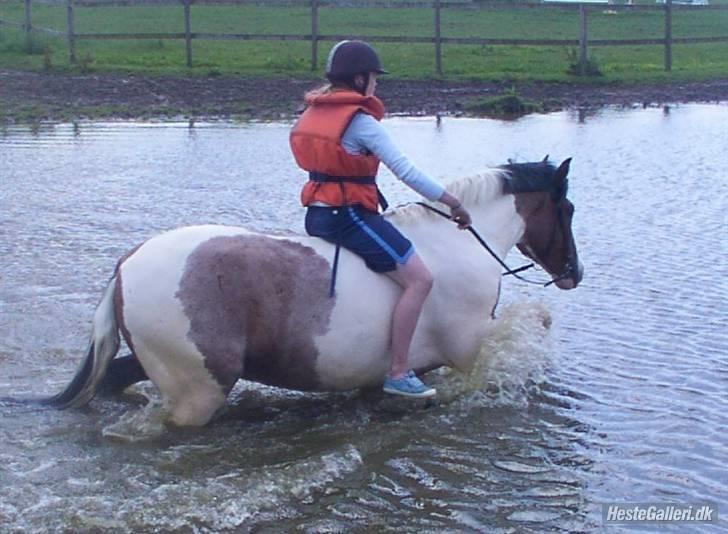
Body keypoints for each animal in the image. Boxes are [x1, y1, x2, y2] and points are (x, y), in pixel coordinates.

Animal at [34, 158, 584, 428]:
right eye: (569, 209)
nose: (573, 273)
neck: (460, 242)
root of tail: (127, 264)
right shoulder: (470, 348)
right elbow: (529, 326)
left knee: (114, 379)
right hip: (198, 391)